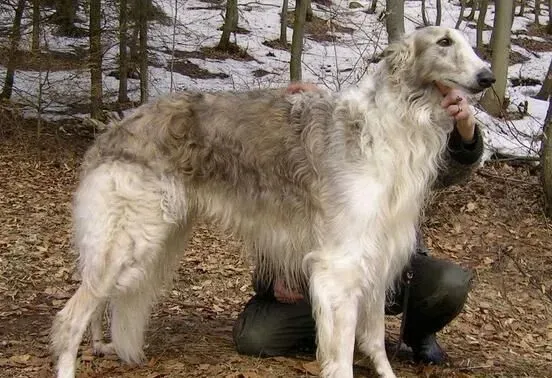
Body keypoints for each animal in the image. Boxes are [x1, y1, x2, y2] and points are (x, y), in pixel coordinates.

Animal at [49, 27, 494, 378]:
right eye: (443, 42)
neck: (391, 124)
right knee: (69, 319)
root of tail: (110, 131)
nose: (488, 77)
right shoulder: (340, 264)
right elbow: (342, 354)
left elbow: (373, 340)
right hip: (128, 242)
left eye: (467, 44)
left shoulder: (378, 255)